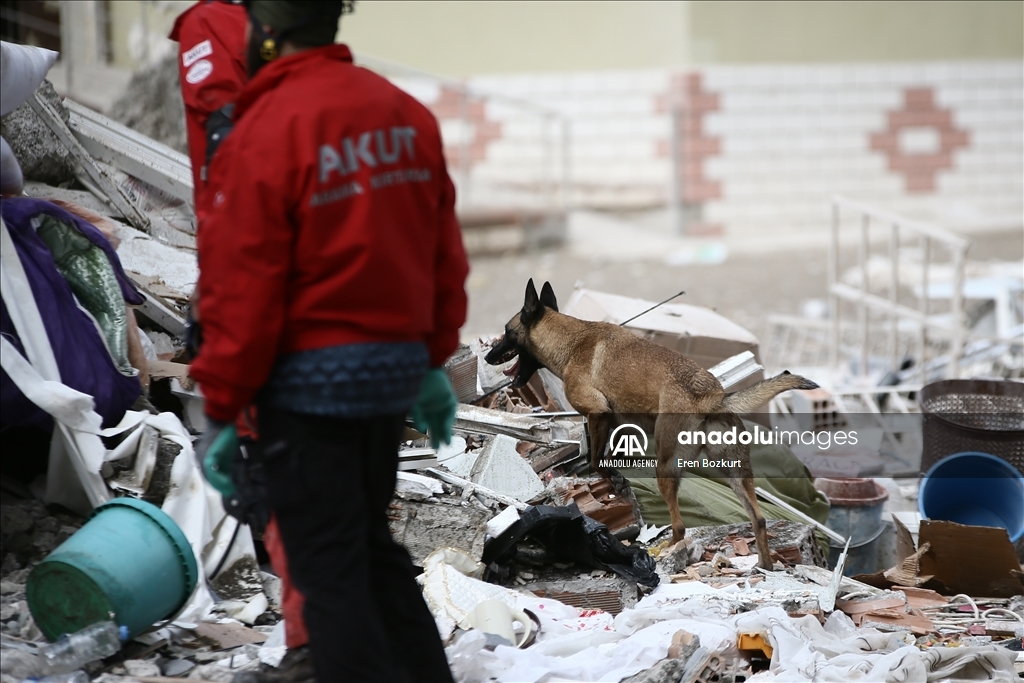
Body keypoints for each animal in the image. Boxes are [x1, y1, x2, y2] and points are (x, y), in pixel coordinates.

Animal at [483, 278, 819, 573]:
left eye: (506, 331)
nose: (487, 357)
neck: (571, 339)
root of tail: (709, 395)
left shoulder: (597, 412)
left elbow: (596, 458)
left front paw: (613, 480)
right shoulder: (617, 423)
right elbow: (604, 453)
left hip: (666, 466)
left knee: (680, 527)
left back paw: (663, 553)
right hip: (736, 472)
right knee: (758, 519)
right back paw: (763, 565)